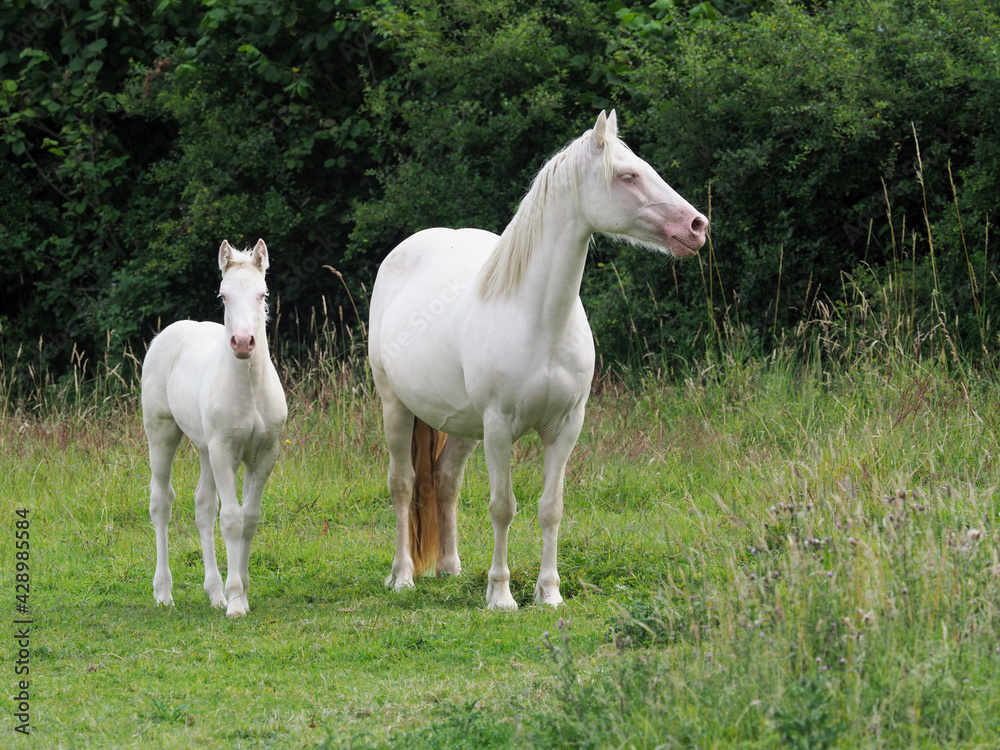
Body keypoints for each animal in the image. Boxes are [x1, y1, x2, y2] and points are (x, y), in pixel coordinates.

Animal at [141, 239, 287, 618]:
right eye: (223, 295)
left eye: (263, 294)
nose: (243, 342)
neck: (249, 391)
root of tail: (170, 332)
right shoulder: (225, 452)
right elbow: (232, 519)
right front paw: (236, 602)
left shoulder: (264, 455)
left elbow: (249, 518)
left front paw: (240, 594)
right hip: (162, 434)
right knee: (161, 502)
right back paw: (164, 593)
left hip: (205, 449)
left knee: (203, 508)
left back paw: (214, 592)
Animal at [368, 111, 707, 610]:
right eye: (627, 175)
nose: (697, 226)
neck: (541, 321)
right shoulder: (498, 429)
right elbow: (502, 507)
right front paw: (501, 595)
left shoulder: (565, 427)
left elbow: (551, 508)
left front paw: (549, 592)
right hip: (397, 406)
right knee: (403, 484)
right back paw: (403, 576)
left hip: (463, 424)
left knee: (446, 481)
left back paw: (450, 568)